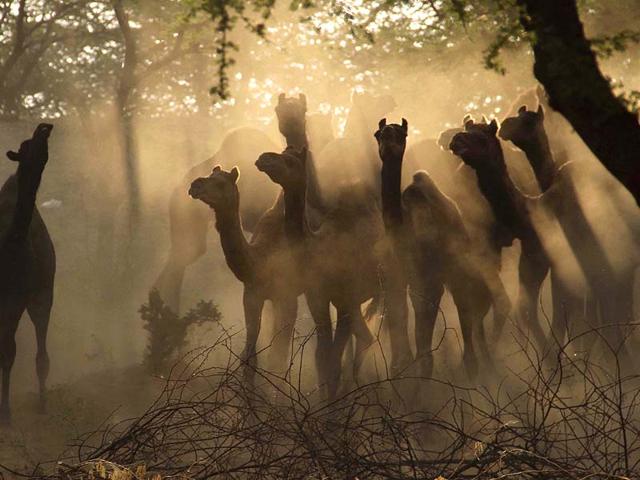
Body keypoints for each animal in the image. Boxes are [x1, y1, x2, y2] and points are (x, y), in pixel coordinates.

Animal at [256, 146, 412, 398]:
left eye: (290, 161)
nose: (263, 158)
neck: (318, 248)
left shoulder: (346, 299)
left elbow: (333, 359)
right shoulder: (318, 298)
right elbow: (323, 355)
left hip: (394, 282)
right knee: (366, 336)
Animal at [376, 118, 511, 377]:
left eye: (401, 134)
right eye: (378, 134)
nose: (388, 144)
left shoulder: (428, 280)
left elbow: (424, 351)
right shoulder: (400, 277)